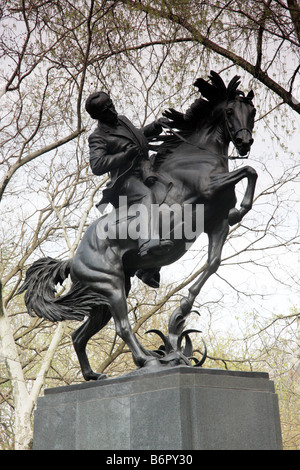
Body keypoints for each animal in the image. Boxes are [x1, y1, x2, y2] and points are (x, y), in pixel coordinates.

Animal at [18, 73, 258, 382]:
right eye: (229, 111)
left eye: (251, 112)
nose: (244, 141)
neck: (197, 156)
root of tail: (73, 259)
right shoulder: (206, 190)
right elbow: (248, 171)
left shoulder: (216, 224)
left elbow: (213, 263)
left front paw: (179, 315)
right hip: (110, 286)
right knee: (122, 327)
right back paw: (148, 360)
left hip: (105, 296)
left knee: (79, 335)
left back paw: (96, 375)